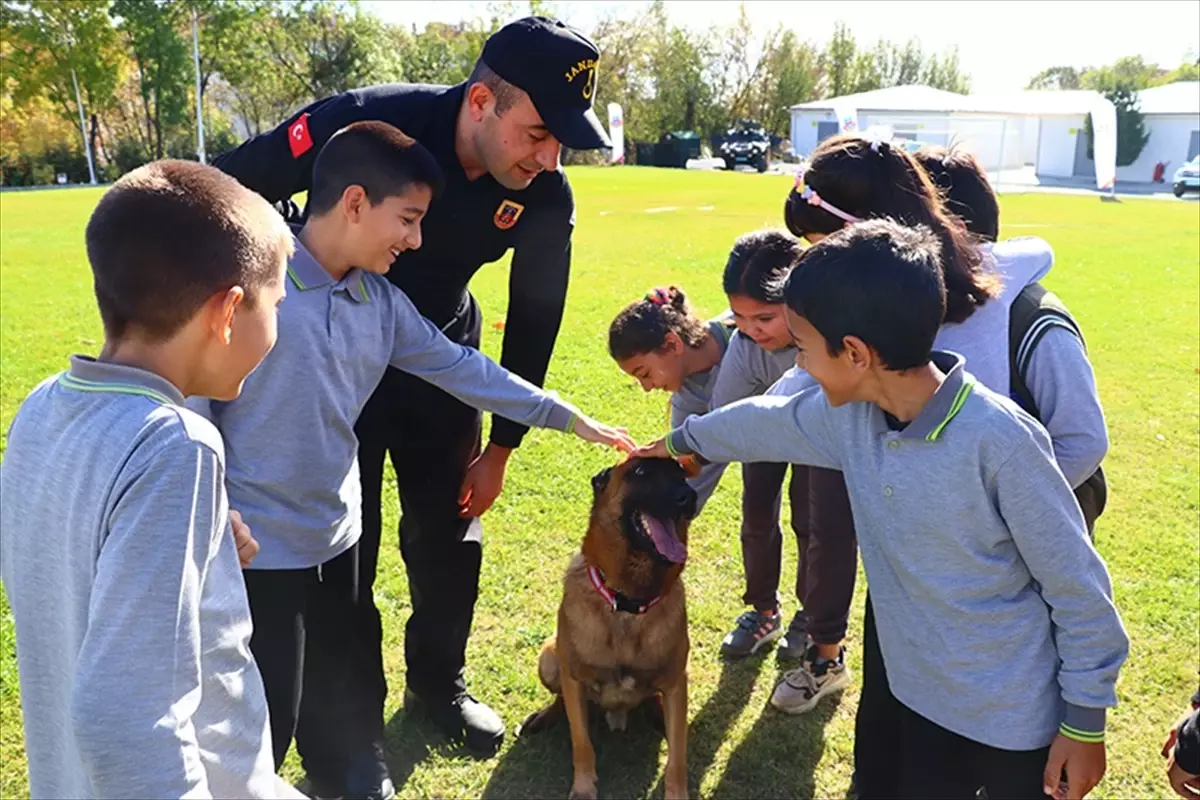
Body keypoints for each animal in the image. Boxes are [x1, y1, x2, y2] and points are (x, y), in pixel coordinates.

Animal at [520, 460, 700, 800]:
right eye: (640, 472)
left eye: (681, 474)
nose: (689, 496)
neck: (628, 603)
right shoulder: (574, 678)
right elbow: (582, 743)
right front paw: (583, 788)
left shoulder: (676, 681)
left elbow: (678, 759)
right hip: (549, 658)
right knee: (561, 701)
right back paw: (544, 717)